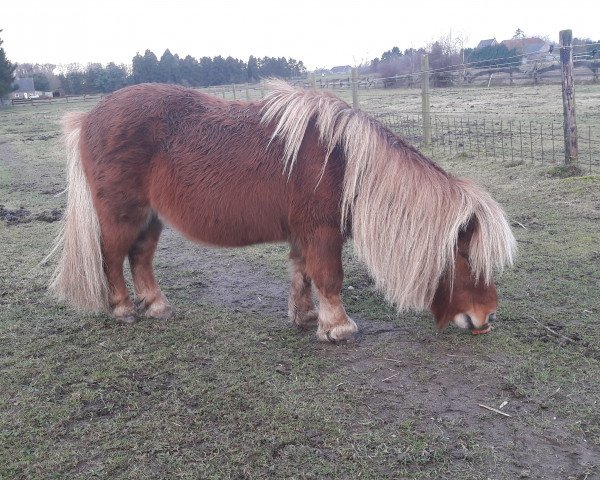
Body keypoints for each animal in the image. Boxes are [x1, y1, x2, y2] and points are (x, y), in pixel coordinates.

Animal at [48, 82, 516, 344]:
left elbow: (303, 274)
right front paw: (338, 328)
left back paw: (157, 305)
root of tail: (90, 117)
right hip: (121, 215)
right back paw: (124, 309)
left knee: (139, 258)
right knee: (112, 258)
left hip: (150, 218)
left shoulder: (304, 233)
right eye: (467, 257)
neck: (344, 160)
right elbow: (329, 276)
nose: (487, 317)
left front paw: (306, 317)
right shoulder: (322, 232)